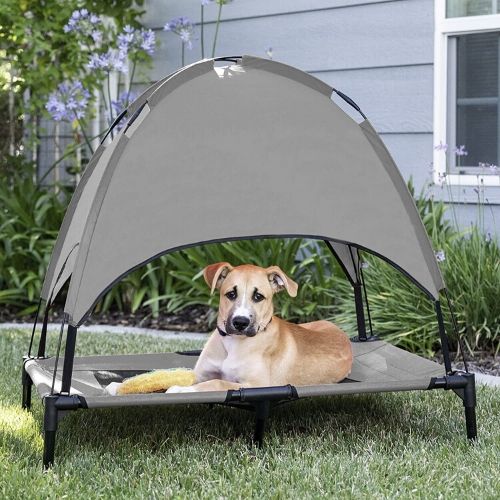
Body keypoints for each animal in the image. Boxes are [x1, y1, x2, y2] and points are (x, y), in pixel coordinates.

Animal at [168, 264, 352, 392]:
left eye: (258, 296)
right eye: (231, 294)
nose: (240, 322)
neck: (233, 343)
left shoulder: (256, 385)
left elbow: (217, 382)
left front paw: (180, 390)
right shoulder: (200, 375)